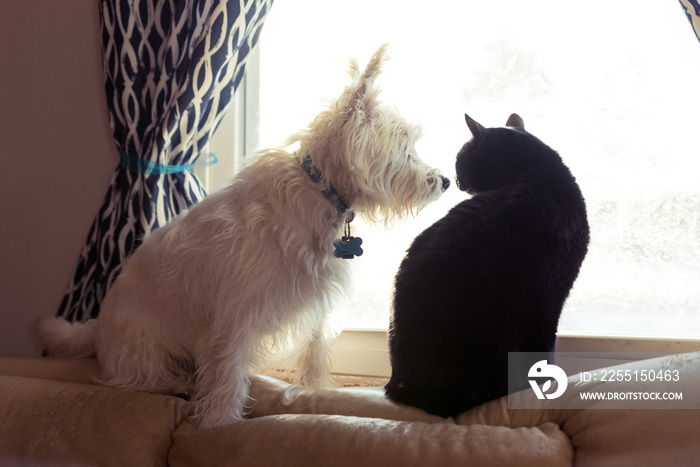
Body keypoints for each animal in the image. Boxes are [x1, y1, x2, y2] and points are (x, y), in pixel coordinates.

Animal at [38, 45, 452, 430]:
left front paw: (314, 390)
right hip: (145, 346)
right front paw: (219, 422)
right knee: (140, 379)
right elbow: (227, 375)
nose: (445, 181)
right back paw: (176, 384)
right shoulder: (235, 314)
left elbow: (314, 352)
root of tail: (97, 328)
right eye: (405, 147)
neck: (319, 193)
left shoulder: (317, 302)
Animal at [386, 113, 588, 416]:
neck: (538, 170)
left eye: (460, 160)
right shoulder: (550, 301)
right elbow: (546, 346)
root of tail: (399, 385)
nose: (455, 180)